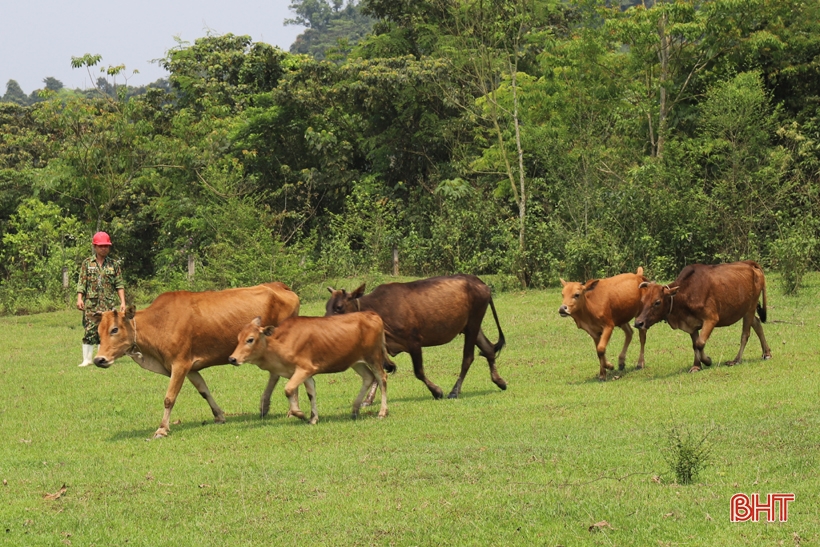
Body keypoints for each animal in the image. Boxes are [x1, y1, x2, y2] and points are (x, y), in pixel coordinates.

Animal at [91, 284, 302, 438]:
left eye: (115, 329)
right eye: (99, 331)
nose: (99, 359)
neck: (158, 322)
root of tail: (280, 286)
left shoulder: (180, 364)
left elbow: (169, 398)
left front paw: (162, 429)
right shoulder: (190, 368)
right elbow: (204, 390)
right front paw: (219, 416)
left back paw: (290, 410)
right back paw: (266, 406)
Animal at [226, 312, 396, 424]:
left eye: (250, 339)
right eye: (238, 338)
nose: (232, 359)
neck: (280, 343)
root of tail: (372, 314)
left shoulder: (305, 369)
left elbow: (289, 389)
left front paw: (300, 413)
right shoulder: (306, 373)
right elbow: (311, 393)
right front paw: (313, 417)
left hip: (373, 357)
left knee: (382, 378)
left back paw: (382, 412)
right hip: (356, 362)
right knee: (368, 377)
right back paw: (354, 410)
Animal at [322, 276, 502, 400]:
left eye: (339, 307)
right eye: (327, 306)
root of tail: (480, 282)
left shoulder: (414, 342)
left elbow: (418, 371)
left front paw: (437, 391)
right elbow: (380, 370)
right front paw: (368, 399)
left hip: (473, 322)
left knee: (468, 357)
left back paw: (454, 391)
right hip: (470, 326)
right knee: (488, 349)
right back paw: (499, 381)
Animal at [632, 260, 772, 372]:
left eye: (657, 302)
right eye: (643, 300)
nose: (638, 323)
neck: (685, 294)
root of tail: (750, 263)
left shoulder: (711, 319)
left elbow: (700, 343)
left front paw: (707, 360)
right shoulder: (691, 325)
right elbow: (695, 345)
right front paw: (696, 366)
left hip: (751, 307)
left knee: (745, 334)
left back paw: (736, 360)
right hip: (746, 309)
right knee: (757, 323)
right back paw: (767, 353)